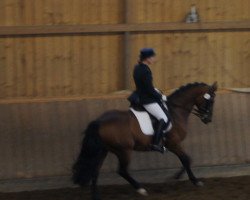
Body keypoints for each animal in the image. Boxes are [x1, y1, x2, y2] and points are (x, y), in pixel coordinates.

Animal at [72, 81, 217, 200]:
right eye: (211, 101)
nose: (208, 119)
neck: (175, 111)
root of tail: (99, 121)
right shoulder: (174, 143)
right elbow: (186, 159)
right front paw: (193, 180)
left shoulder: (174, 145)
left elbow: (186, 159)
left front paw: (177, 177)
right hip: (123, 151)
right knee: (122, 171)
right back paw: (141, 189)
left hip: (104, 150)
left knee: (95, 171)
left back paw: (96, 196)